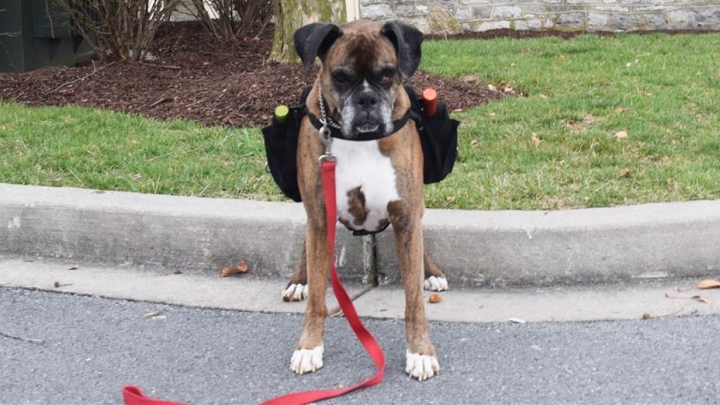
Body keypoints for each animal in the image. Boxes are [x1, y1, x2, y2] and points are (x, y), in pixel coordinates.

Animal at [284, 19, 448, 378]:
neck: (360, 140)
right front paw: (308, 347)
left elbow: (413, 301)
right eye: (340, 76)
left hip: (417, 209)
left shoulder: (405, 216)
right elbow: (318, 298)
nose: (367, 99)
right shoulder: (319, 215)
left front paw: (420, 352)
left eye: (387, 74)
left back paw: (432, 272)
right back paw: (298, 281)